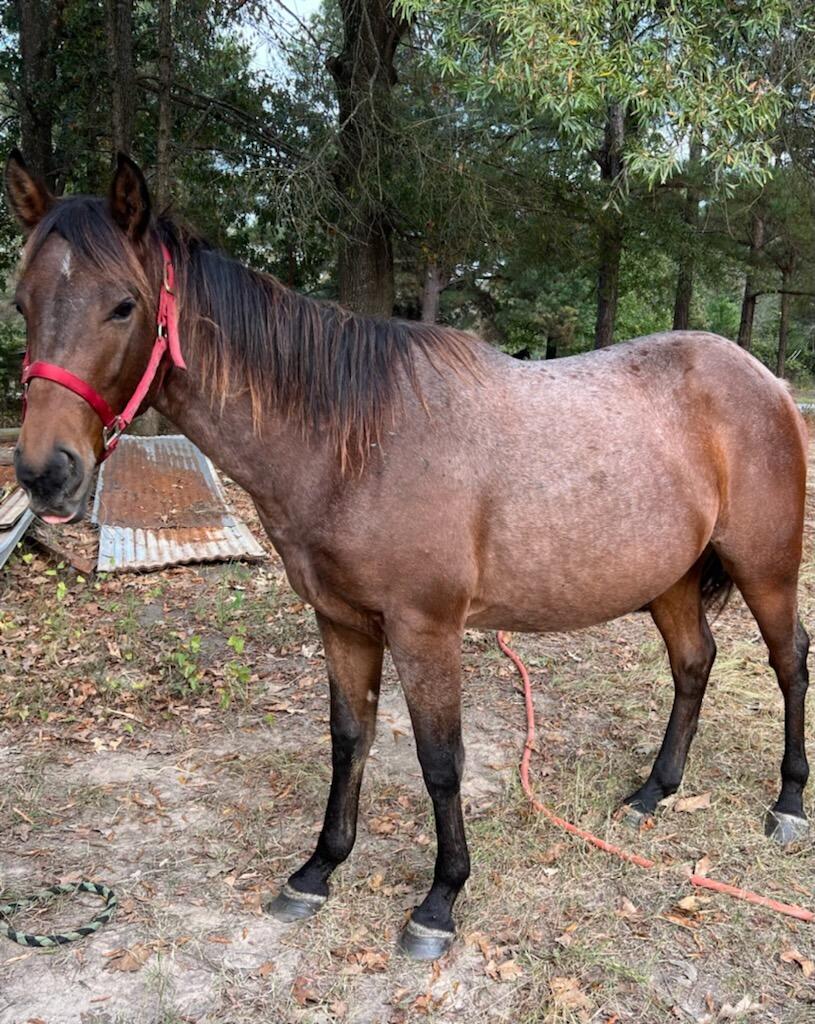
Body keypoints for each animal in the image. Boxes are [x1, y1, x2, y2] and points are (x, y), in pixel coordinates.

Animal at [5, 151, 810, 961]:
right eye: (21, 302)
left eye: (122, 307)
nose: (46, 473)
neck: (354, 443)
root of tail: (767, 382)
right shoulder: (341, 623)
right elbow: (348, 739)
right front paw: (317, 871)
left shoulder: (425, 630)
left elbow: (440, 762)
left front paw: (439, 901)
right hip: (669, 577)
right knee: (693, 662)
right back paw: (653, 791)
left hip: (765, 568)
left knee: (788, 659)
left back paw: (787, 802)